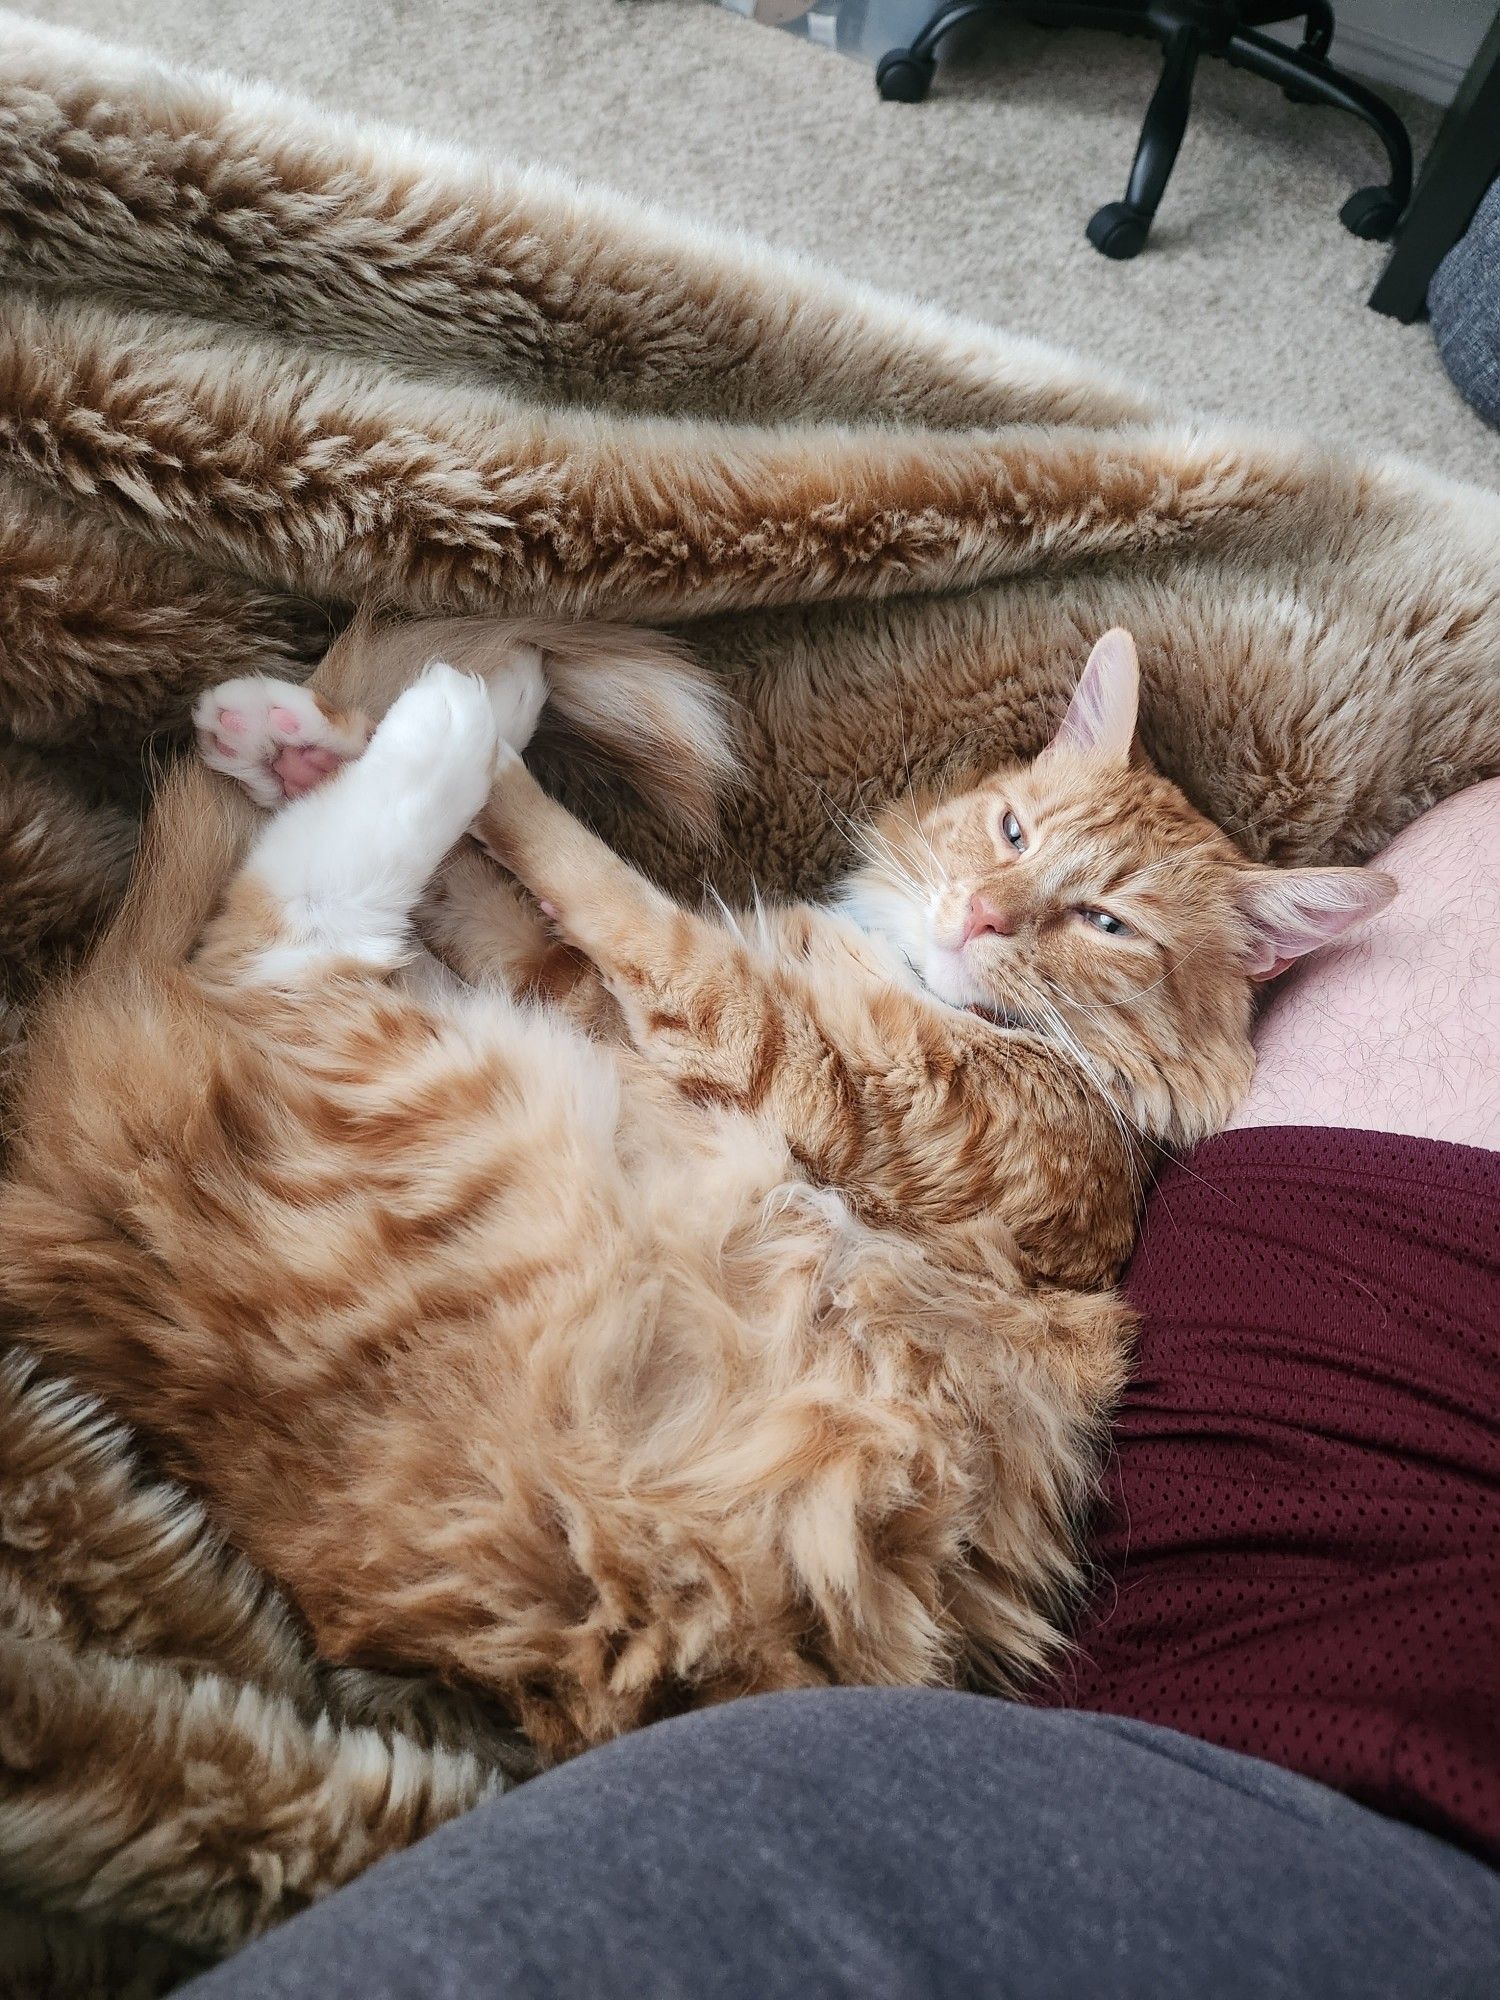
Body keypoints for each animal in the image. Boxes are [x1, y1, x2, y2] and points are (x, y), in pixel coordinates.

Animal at [0, 620, 1400, 1752]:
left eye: (1107, 922)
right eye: (1012, 830)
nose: (980, 917)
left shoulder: (772, 1050)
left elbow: (590, 878)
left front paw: (452, 754)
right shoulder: (586, 996)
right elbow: (505, 899)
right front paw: (308, 741)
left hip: (473, 1111)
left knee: (284, 938)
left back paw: (466, 711)